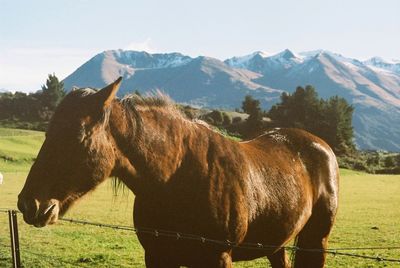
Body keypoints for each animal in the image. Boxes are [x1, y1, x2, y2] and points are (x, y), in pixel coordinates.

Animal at [18, 76, 338, 266]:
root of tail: (320, 145)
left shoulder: (217, 257)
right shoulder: (158, 255)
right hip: (277, 244)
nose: (28, 203)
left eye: (79, 136)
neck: (177, 181)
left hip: (315, 243)